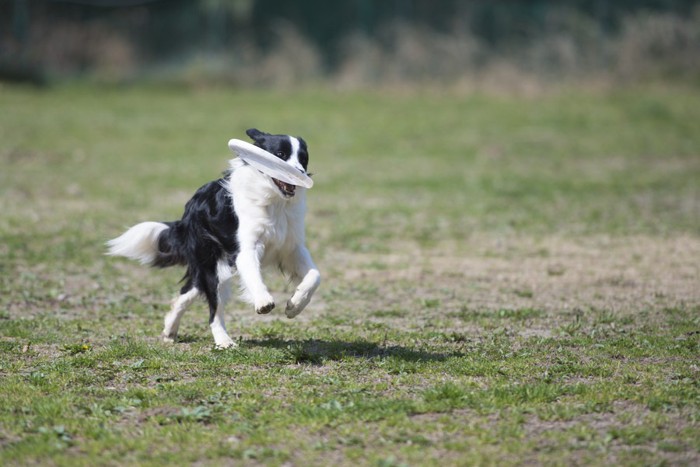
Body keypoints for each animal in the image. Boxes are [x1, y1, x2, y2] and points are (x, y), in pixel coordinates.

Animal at [106, 130, 320, 350]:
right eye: (280, 154)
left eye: (303, 159)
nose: (299, 173)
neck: (275, 202)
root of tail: (188, 212)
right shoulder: (245, 249)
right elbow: (253, 276)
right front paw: (263, 301)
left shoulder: (292, 248)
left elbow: (315, 276)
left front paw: (295, 305)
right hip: (213, 267)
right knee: (213, 310)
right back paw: (224, 341)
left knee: (187, 291)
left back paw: (169, 330)